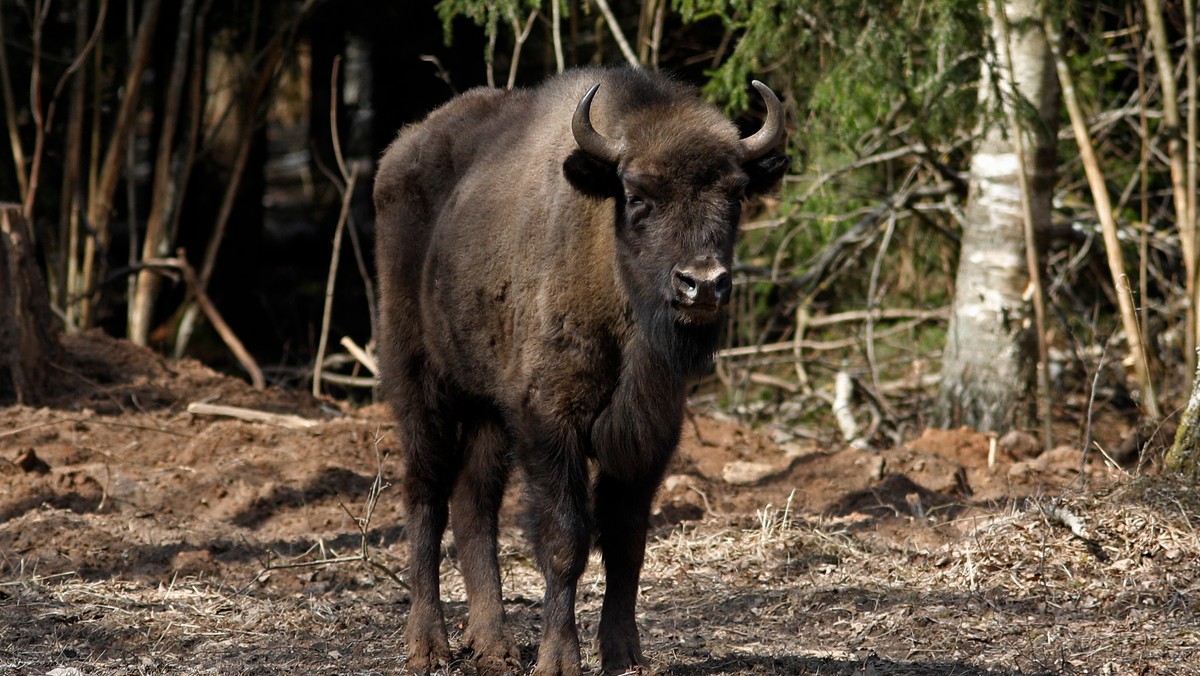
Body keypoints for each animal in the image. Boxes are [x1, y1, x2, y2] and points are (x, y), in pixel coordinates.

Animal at [374, 64, 787, 676]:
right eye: (637, 196)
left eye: (735, 193)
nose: (703, 283)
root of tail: (400, 152)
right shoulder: (550, 424)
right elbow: (565, 540)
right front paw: (560, 659)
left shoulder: (647, 436)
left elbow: (626, 540)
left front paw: (622, 653)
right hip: (419, 384)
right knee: (426, 495)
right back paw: (428, 645)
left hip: (488, 408)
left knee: (475, 505)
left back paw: (494, 644)